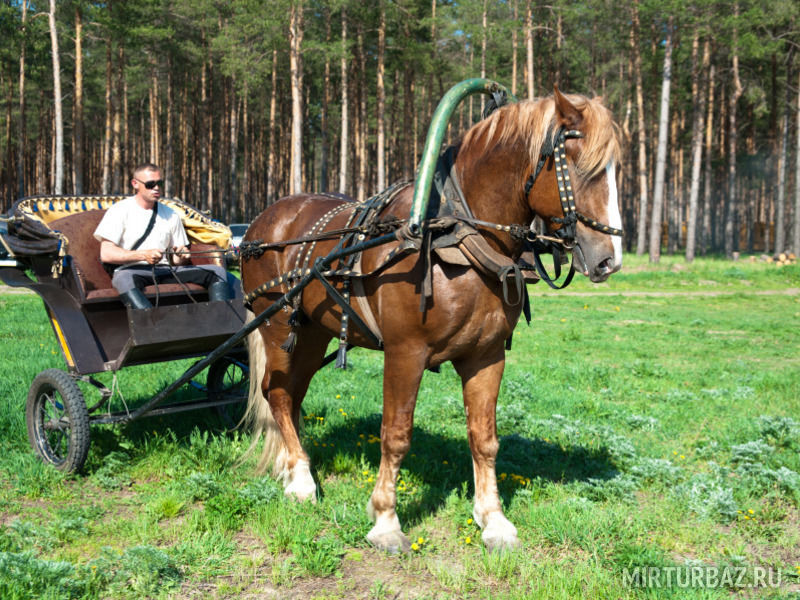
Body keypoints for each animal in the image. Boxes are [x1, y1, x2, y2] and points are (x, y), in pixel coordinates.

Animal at [241, 89, 620, 552]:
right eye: (580, 166)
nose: (608, 260)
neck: (455, 238)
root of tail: (262, 221)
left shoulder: (487, 355)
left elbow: (484, 438)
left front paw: (493, 519)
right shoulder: (406, 353)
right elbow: (396, 434)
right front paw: (386, 520)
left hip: (314, 334)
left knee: (292, 397)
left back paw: (296, 466)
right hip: (277, 325)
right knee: (276, 394)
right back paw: (301, 481)